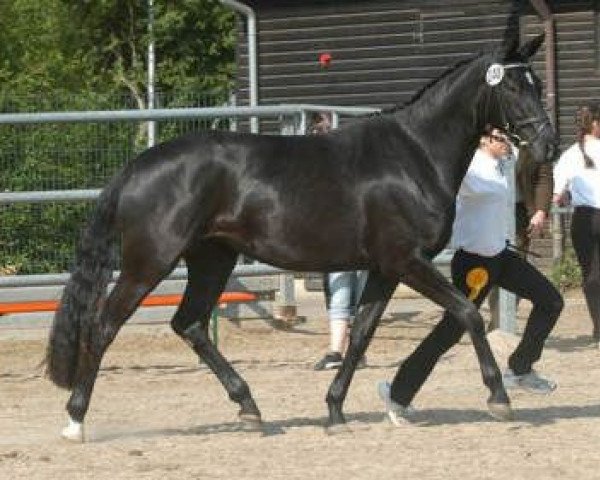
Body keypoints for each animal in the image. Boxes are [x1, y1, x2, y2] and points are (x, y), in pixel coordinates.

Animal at [48, 32, 556, 438]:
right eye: (513, 86)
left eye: (538, 84)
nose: (547, 144)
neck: (414, 156)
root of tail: (135, 167)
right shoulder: (407, 261)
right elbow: (468, 314)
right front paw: (499, 399)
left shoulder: (384, 268)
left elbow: (362, 334)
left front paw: (335, 411)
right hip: (149, 262)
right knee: (104, 324)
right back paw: (75, 420)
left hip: (213, 259)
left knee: (188, 323)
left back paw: (250, 409)